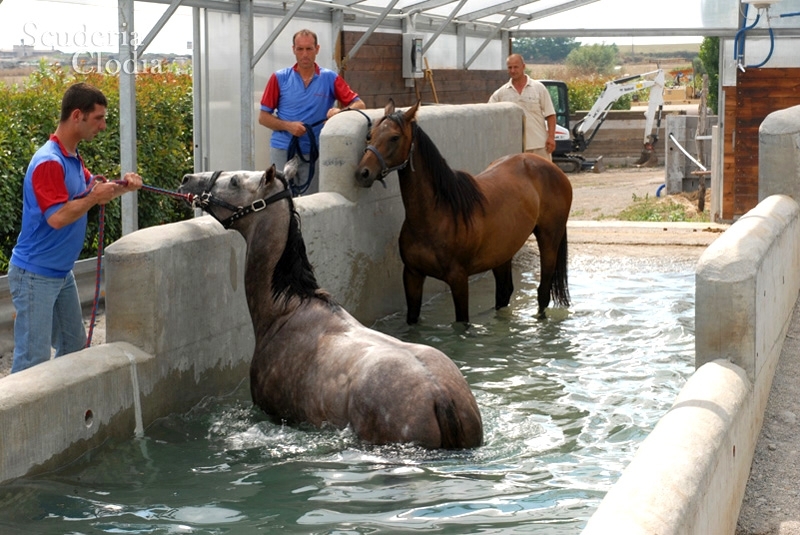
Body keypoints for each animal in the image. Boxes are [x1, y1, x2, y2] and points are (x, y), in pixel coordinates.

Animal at [354, 102, 572, 324]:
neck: (437, 214)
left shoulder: (458, 280)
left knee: (543, 292)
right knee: (504, 293)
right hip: (502, 253)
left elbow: (461, 323)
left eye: (394, 137)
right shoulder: (412, 276)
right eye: (370, 135)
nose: (363, 173)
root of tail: (552, 168)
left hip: (549, 240)